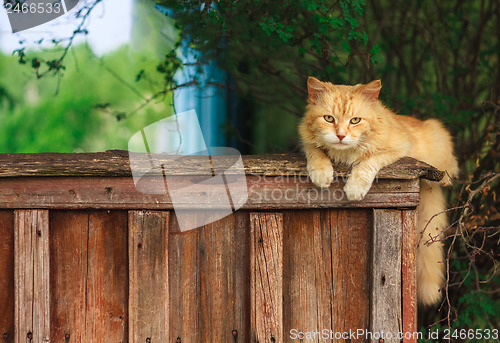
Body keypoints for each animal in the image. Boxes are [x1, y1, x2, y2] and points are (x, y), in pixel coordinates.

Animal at [298, 78, 458, 306]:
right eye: (329, 119)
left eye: (355, 120)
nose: (340, 135)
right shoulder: (307, 143)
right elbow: (316, 152)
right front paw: (321, 173)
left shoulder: (399, 148)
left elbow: (368, 161)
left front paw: (355, 188)